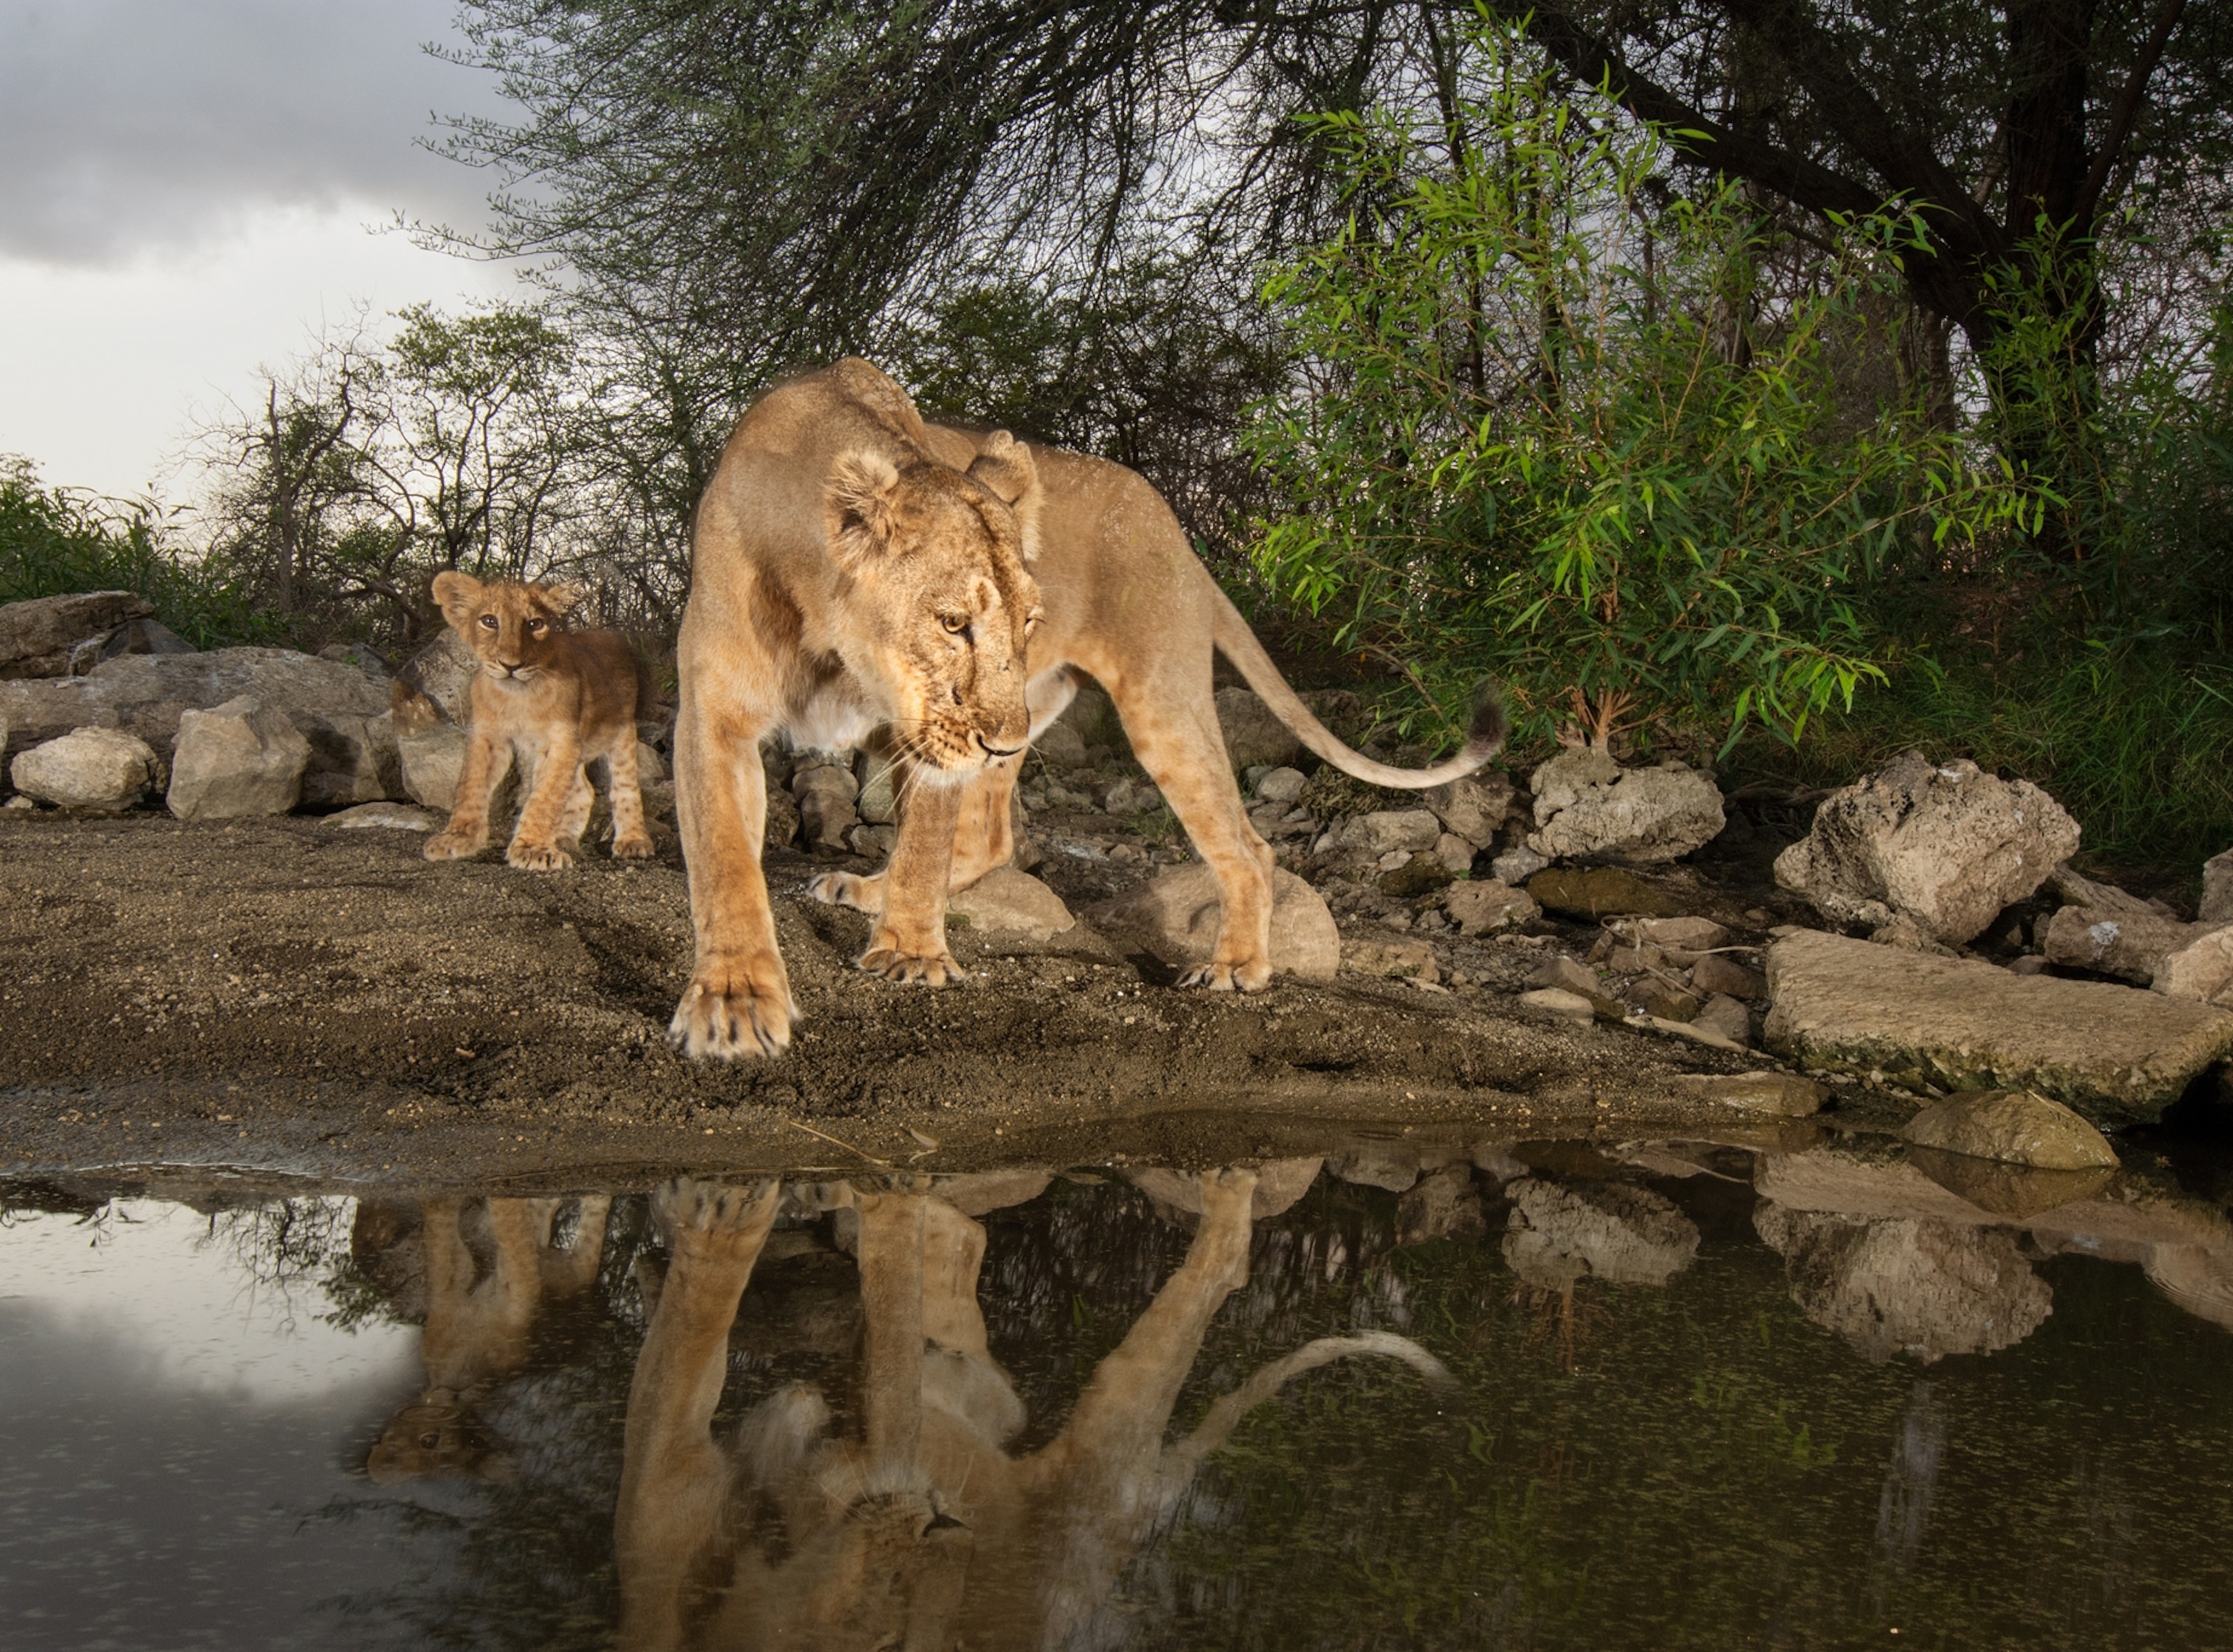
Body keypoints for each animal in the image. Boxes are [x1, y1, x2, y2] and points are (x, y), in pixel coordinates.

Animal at [422, 570, 655, 871]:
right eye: (489, 621)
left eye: (535, 624)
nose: (511, 665)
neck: (517, 696)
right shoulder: (488, 737)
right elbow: (470, 788)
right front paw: (456, 838)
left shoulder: (562, 741)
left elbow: (545, 797)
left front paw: (532, 849)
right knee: (584, 790)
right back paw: (563, 839)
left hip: (621, 733)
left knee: (625, 787)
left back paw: (633, 841)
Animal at [614, 1169, 1452, 1650]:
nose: (943, 1524)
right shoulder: (664, 1503)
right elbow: (677, 1361)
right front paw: (718, 1212)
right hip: (1005, 1407)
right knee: (966, 1251)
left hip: (1102, 1460)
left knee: (1223, 1265)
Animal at [669, 357, 1503, 1059]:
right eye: (951, 623)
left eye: (1028, 622)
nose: (1000, 747)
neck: (832, 644)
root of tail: (1179, 531)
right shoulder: (716, 712)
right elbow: (724, 861)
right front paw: (737, 998)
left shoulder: (937, 733)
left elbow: (923, 846)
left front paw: (908, 952)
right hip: (1035, 711)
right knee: (994, 837)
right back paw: (865, 886)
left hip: (1151, 703)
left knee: (1249, 846)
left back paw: (1236, 966)